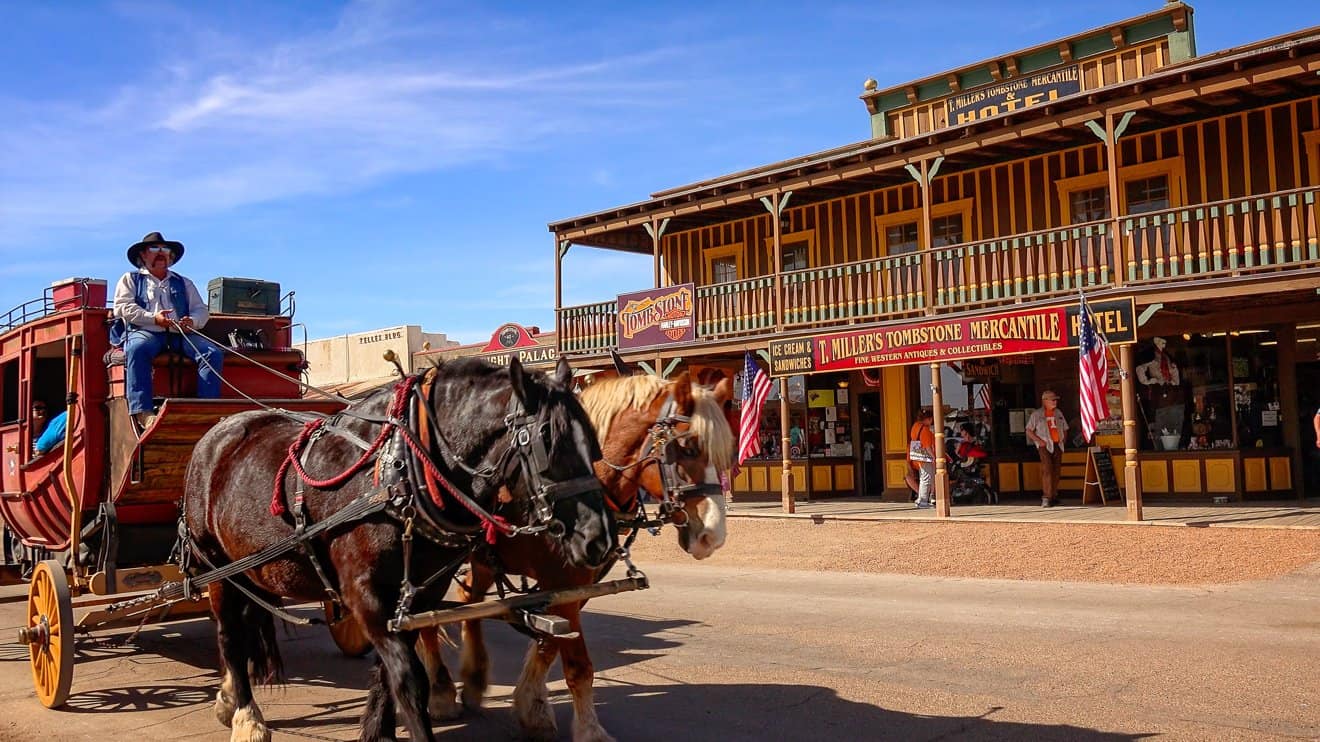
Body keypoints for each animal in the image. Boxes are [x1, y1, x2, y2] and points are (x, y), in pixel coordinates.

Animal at [186, 356, 617, 734]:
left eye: (593, 443)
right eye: (548, 444)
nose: (599, 538)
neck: (401, 472)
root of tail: (218, 431)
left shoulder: (419, 598)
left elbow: (386, 677)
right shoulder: (366, 596)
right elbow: (409, 682)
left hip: (252, 570)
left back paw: (228, 699)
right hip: (216, 569)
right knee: (229, 636)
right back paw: (247, 716)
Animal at [419, 369, 739, 739]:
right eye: (687, 448)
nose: (712, 535)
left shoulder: (574, 586)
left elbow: (550, 642)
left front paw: (532, 706)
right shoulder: (562, 583)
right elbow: (578, 666)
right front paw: (589, 730)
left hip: (484, 560)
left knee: (468, 601)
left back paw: (472, 679)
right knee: (428, 619)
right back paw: (441, 692)